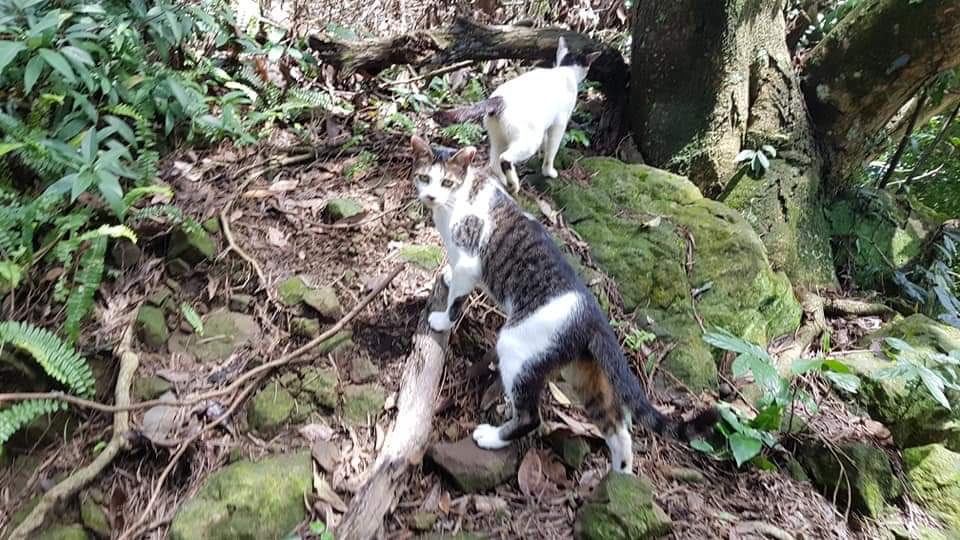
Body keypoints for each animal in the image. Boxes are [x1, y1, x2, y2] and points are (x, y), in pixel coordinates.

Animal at [408, 136, 716, 472]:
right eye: (424, 177)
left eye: (446, 182)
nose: (431, 196)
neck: (455, 202)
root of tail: (593, 318)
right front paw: (447, 276)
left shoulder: (469, 262)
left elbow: (456, 301)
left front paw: (442, 320)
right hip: (585, 375)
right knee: (618, 428)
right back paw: (620, 475)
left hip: (517, 350)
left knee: (531, 418)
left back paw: (492, 437)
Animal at [436, 37, 600, 192]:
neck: (565, 71)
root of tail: (500, 100)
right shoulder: (559, 124)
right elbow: (551, 150)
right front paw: (548, 171)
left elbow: (545, 143)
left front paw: (541, 154)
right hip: (528, 141)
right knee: (505, 158)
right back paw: (514, 184)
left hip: (498, 138)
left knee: (494, 162)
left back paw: (505, 182)